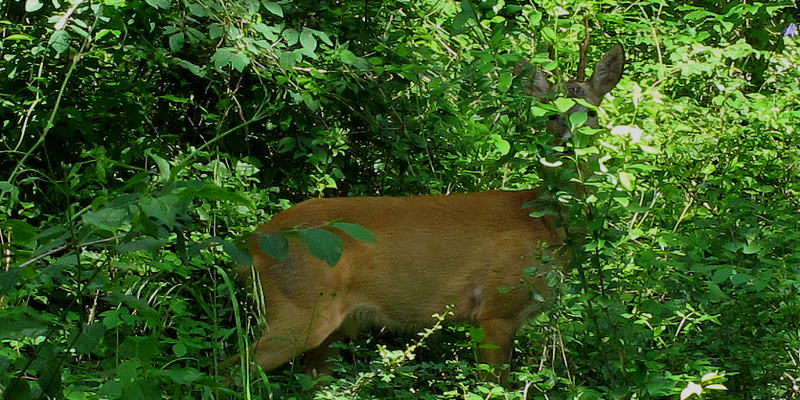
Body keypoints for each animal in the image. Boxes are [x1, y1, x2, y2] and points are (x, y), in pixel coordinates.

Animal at [238, 43, 624, 382]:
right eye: (552, 114)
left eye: (592, 111)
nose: (570, 144)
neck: (543, 222)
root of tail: (252, 241)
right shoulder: (495, 309)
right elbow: (496, 385)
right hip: (299, 307)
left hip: (330, 325)